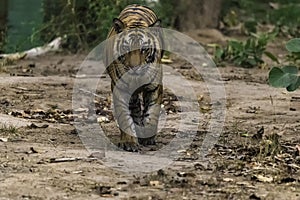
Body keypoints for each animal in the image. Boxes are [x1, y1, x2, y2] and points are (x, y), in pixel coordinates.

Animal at [104, 3, 163, 152]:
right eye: (127, 48)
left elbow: (152, 112)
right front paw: (129, 142)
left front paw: (148, 137)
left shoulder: (154, 87)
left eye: (144, 49)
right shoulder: (119, 88)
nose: (134, 68)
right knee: (134, 108)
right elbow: (124, 116)